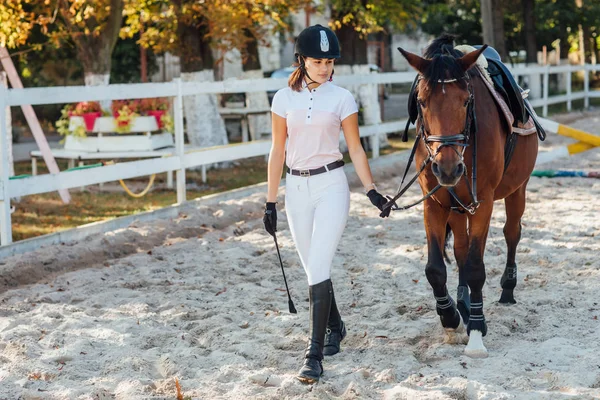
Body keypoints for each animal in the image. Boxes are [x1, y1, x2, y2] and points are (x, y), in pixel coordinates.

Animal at [396, 36, 536, 358]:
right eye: (422, 102)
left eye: (465, 101)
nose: (448, 168)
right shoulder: (435, 203)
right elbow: (436, 268)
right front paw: (450, 317)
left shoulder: (481, 201)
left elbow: (475, 267)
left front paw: (476, 327)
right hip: (457, 207)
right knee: (460, 248)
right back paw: (461, 303)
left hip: (516, 190)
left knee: (512, 233)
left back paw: (506, 290)